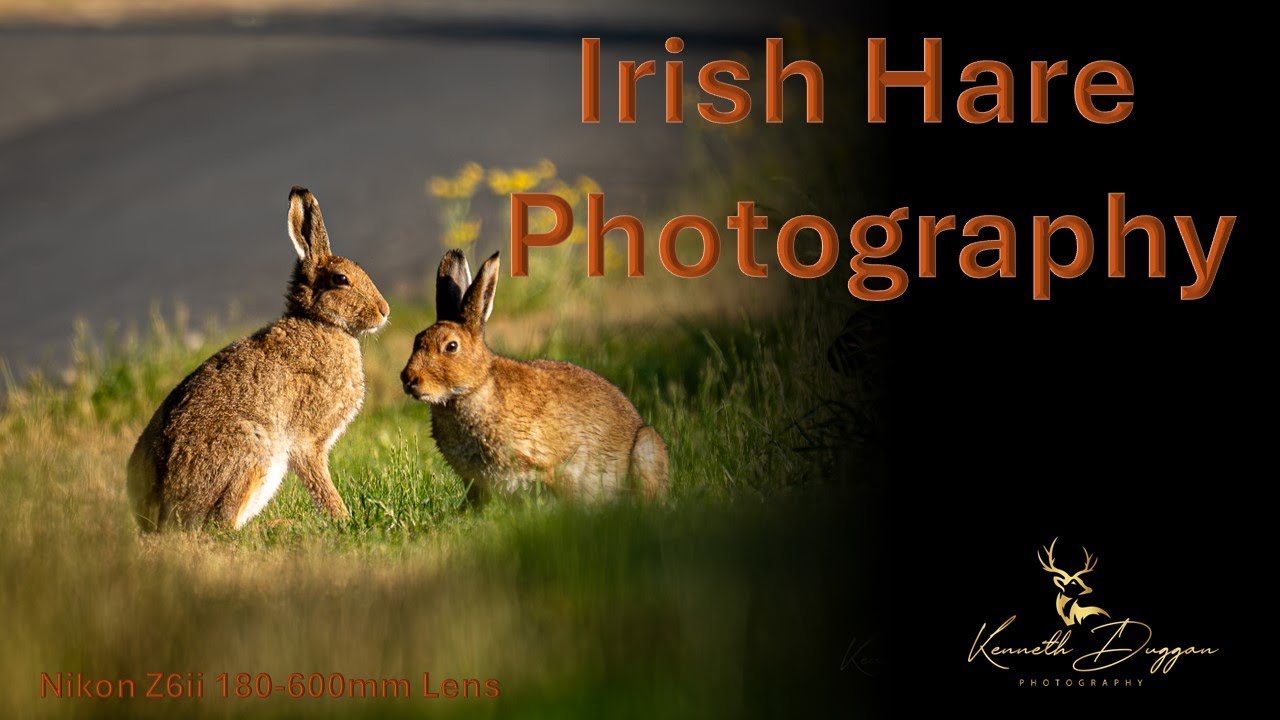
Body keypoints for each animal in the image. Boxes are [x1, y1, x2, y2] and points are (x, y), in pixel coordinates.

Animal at [127, 187, 390, 531]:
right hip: (252, 452)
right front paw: (342, 518)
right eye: (341, 279)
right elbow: (318, 480)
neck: (319, 322)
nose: (384, 310)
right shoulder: (307, 441)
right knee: (223, 525)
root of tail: (159, 517)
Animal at [400, 249, 669, 503]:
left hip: (645, 448)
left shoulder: (556, 466)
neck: (476, 388)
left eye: (451, 346)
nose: (408, 379)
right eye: (416, 340)